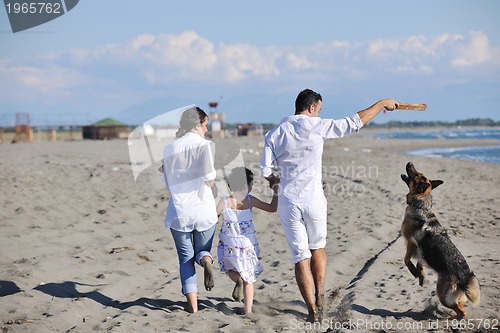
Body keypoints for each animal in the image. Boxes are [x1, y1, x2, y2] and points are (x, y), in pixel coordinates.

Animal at [400, 162, 478, 318]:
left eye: (415, 175)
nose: (410, 163)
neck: (421, 205)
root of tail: (464, 279)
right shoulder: (421, 252)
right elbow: (420, 263)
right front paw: (421, 276)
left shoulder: (411, 243)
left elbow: (406, 260)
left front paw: (414, 272)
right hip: (456, 298)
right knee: (461, 307)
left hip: (443, 295)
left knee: (461, 312)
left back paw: (451, 317)